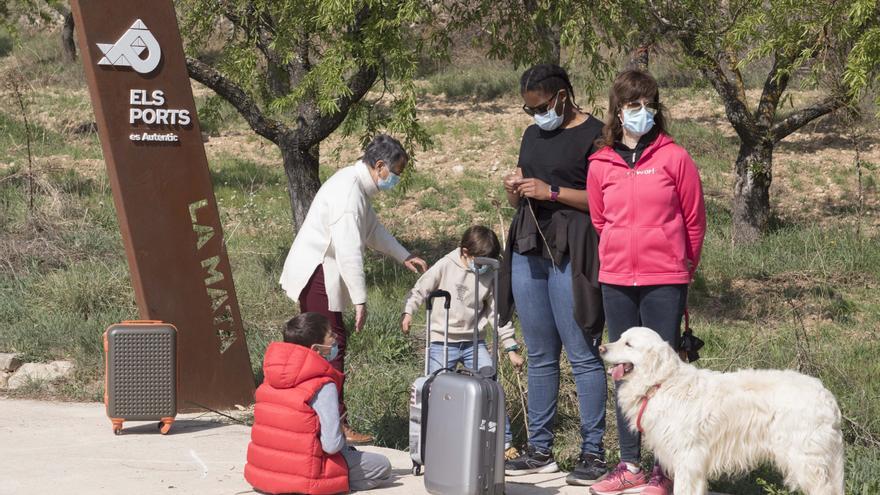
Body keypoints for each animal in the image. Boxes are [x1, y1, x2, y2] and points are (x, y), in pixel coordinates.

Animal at [600, 328, 844, 494]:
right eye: (620, 338)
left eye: (628, 344)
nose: (601, 348)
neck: (660, 382)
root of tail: (826, 395)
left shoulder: (688, 457)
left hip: (805, 459)